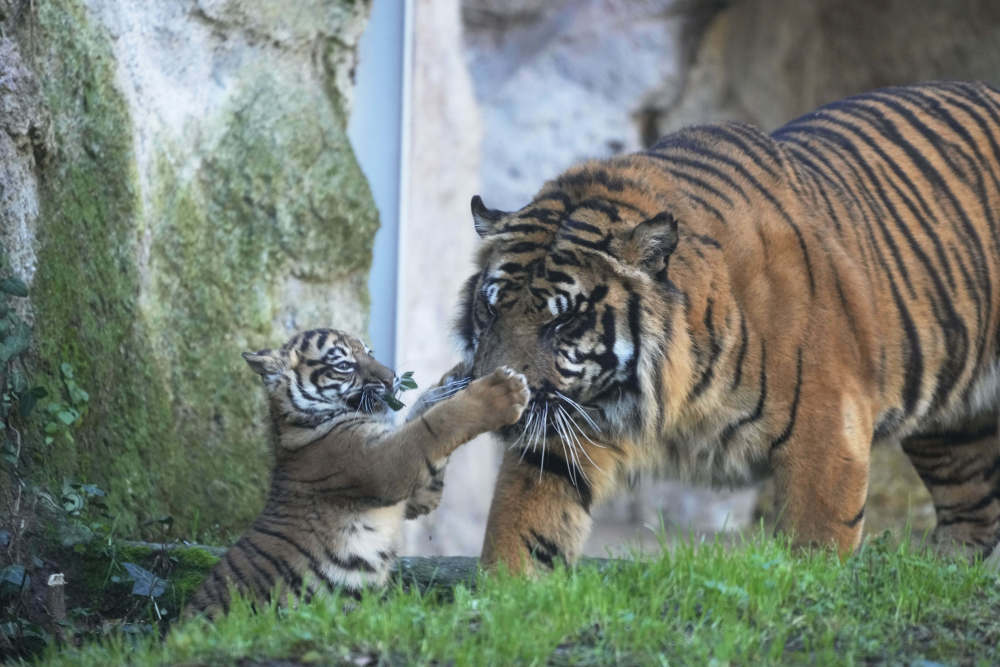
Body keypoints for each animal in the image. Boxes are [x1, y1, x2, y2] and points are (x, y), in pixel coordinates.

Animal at [458, 81, 1000, 572]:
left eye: (563, 318)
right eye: (491, 310)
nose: (496, 393)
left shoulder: (828, 433)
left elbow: (817, 546)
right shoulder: (566, 422)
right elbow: (526, 520)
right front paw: (504, 596)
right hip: (953, 432)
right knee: (974, 513)